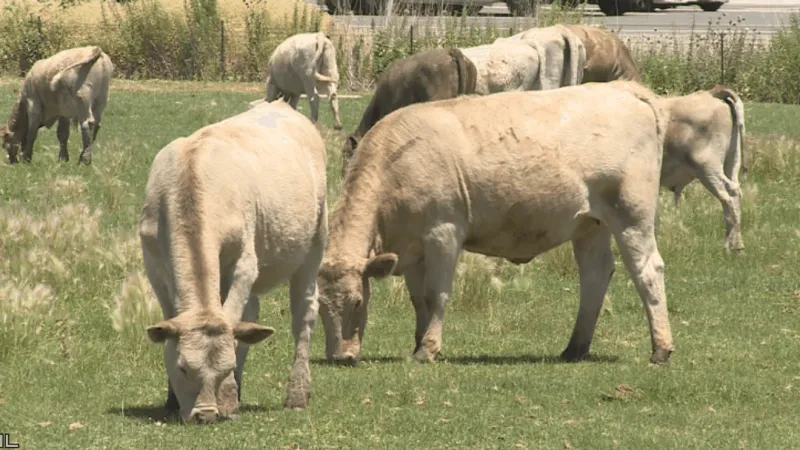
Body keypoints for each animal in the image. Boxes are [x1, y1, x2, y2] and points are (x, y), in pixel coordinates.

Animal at [139, 98, 328, 424]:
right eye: (182, 367)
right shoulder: (153, 265)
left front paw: (228, 395)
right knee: (250, 314)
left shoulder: (244, 264)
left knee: (304, 314)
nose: (204, 415)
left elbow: (233, 320)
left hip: (315, 242)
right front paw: (172, 398)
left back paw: (297, 392)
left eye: (223, 369)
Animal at [316, 80, 676, 370]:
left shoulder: (443, 232)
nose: (341, 358)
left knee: (647, 271)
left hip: (631, 214)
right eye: (319, 307)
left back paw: (661, 349)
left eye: (357, 301)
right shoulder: (411, 248)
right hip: (591, 223)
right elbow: (418, 299)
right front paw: (419, 342)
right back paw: (575, 347)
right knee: (595, 276)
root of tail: (623, 89)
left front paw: (428, 349)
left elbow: (437, 294)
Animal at [658, 85, 747, 253]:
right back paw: (736, 246)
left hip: (708, 168)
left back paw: (731, 246)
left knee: (728, 198)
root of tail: (709, 93)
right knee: (734, 193)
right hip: (732, 160)